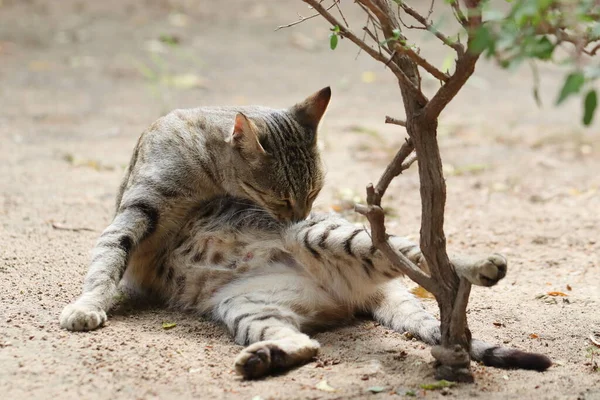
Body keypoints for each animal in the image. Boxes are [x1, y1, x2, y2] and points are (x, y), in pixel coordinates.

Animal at [60, 87, 330, 332]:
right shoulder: (137, 208)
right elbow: (108, 260)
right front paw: (88, 305)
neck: (205, 175)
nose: (300, 218)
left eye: (313, 193)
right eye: (280, 200)